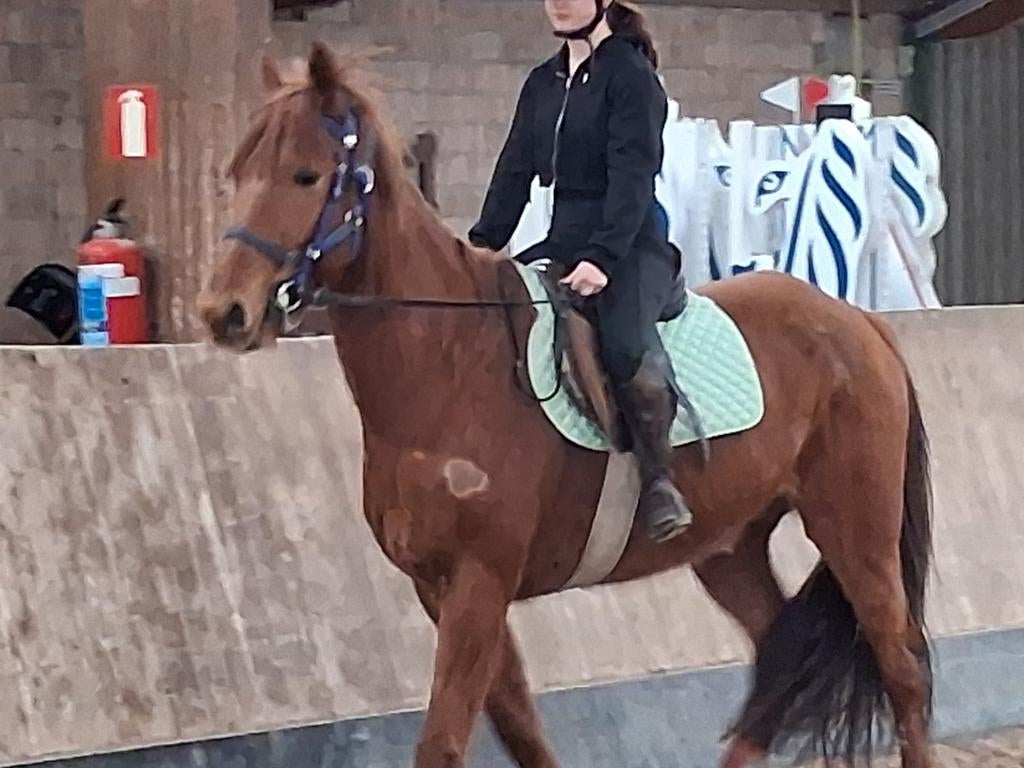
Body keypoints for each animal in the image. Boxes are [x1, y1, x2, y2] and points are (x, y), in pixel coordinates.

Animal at [197, 43, 935, 768]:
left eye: (305, 175)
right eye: (236, 173)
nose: (223, 313)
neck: (449, 369)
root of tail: (858, 322)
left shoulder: (479, 582)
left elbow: (444, 739)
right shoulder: (442, 587)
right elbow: (522, 728)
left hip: (856, 534)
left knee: (901, 669)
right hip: (731, 545)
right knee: (777, 662)